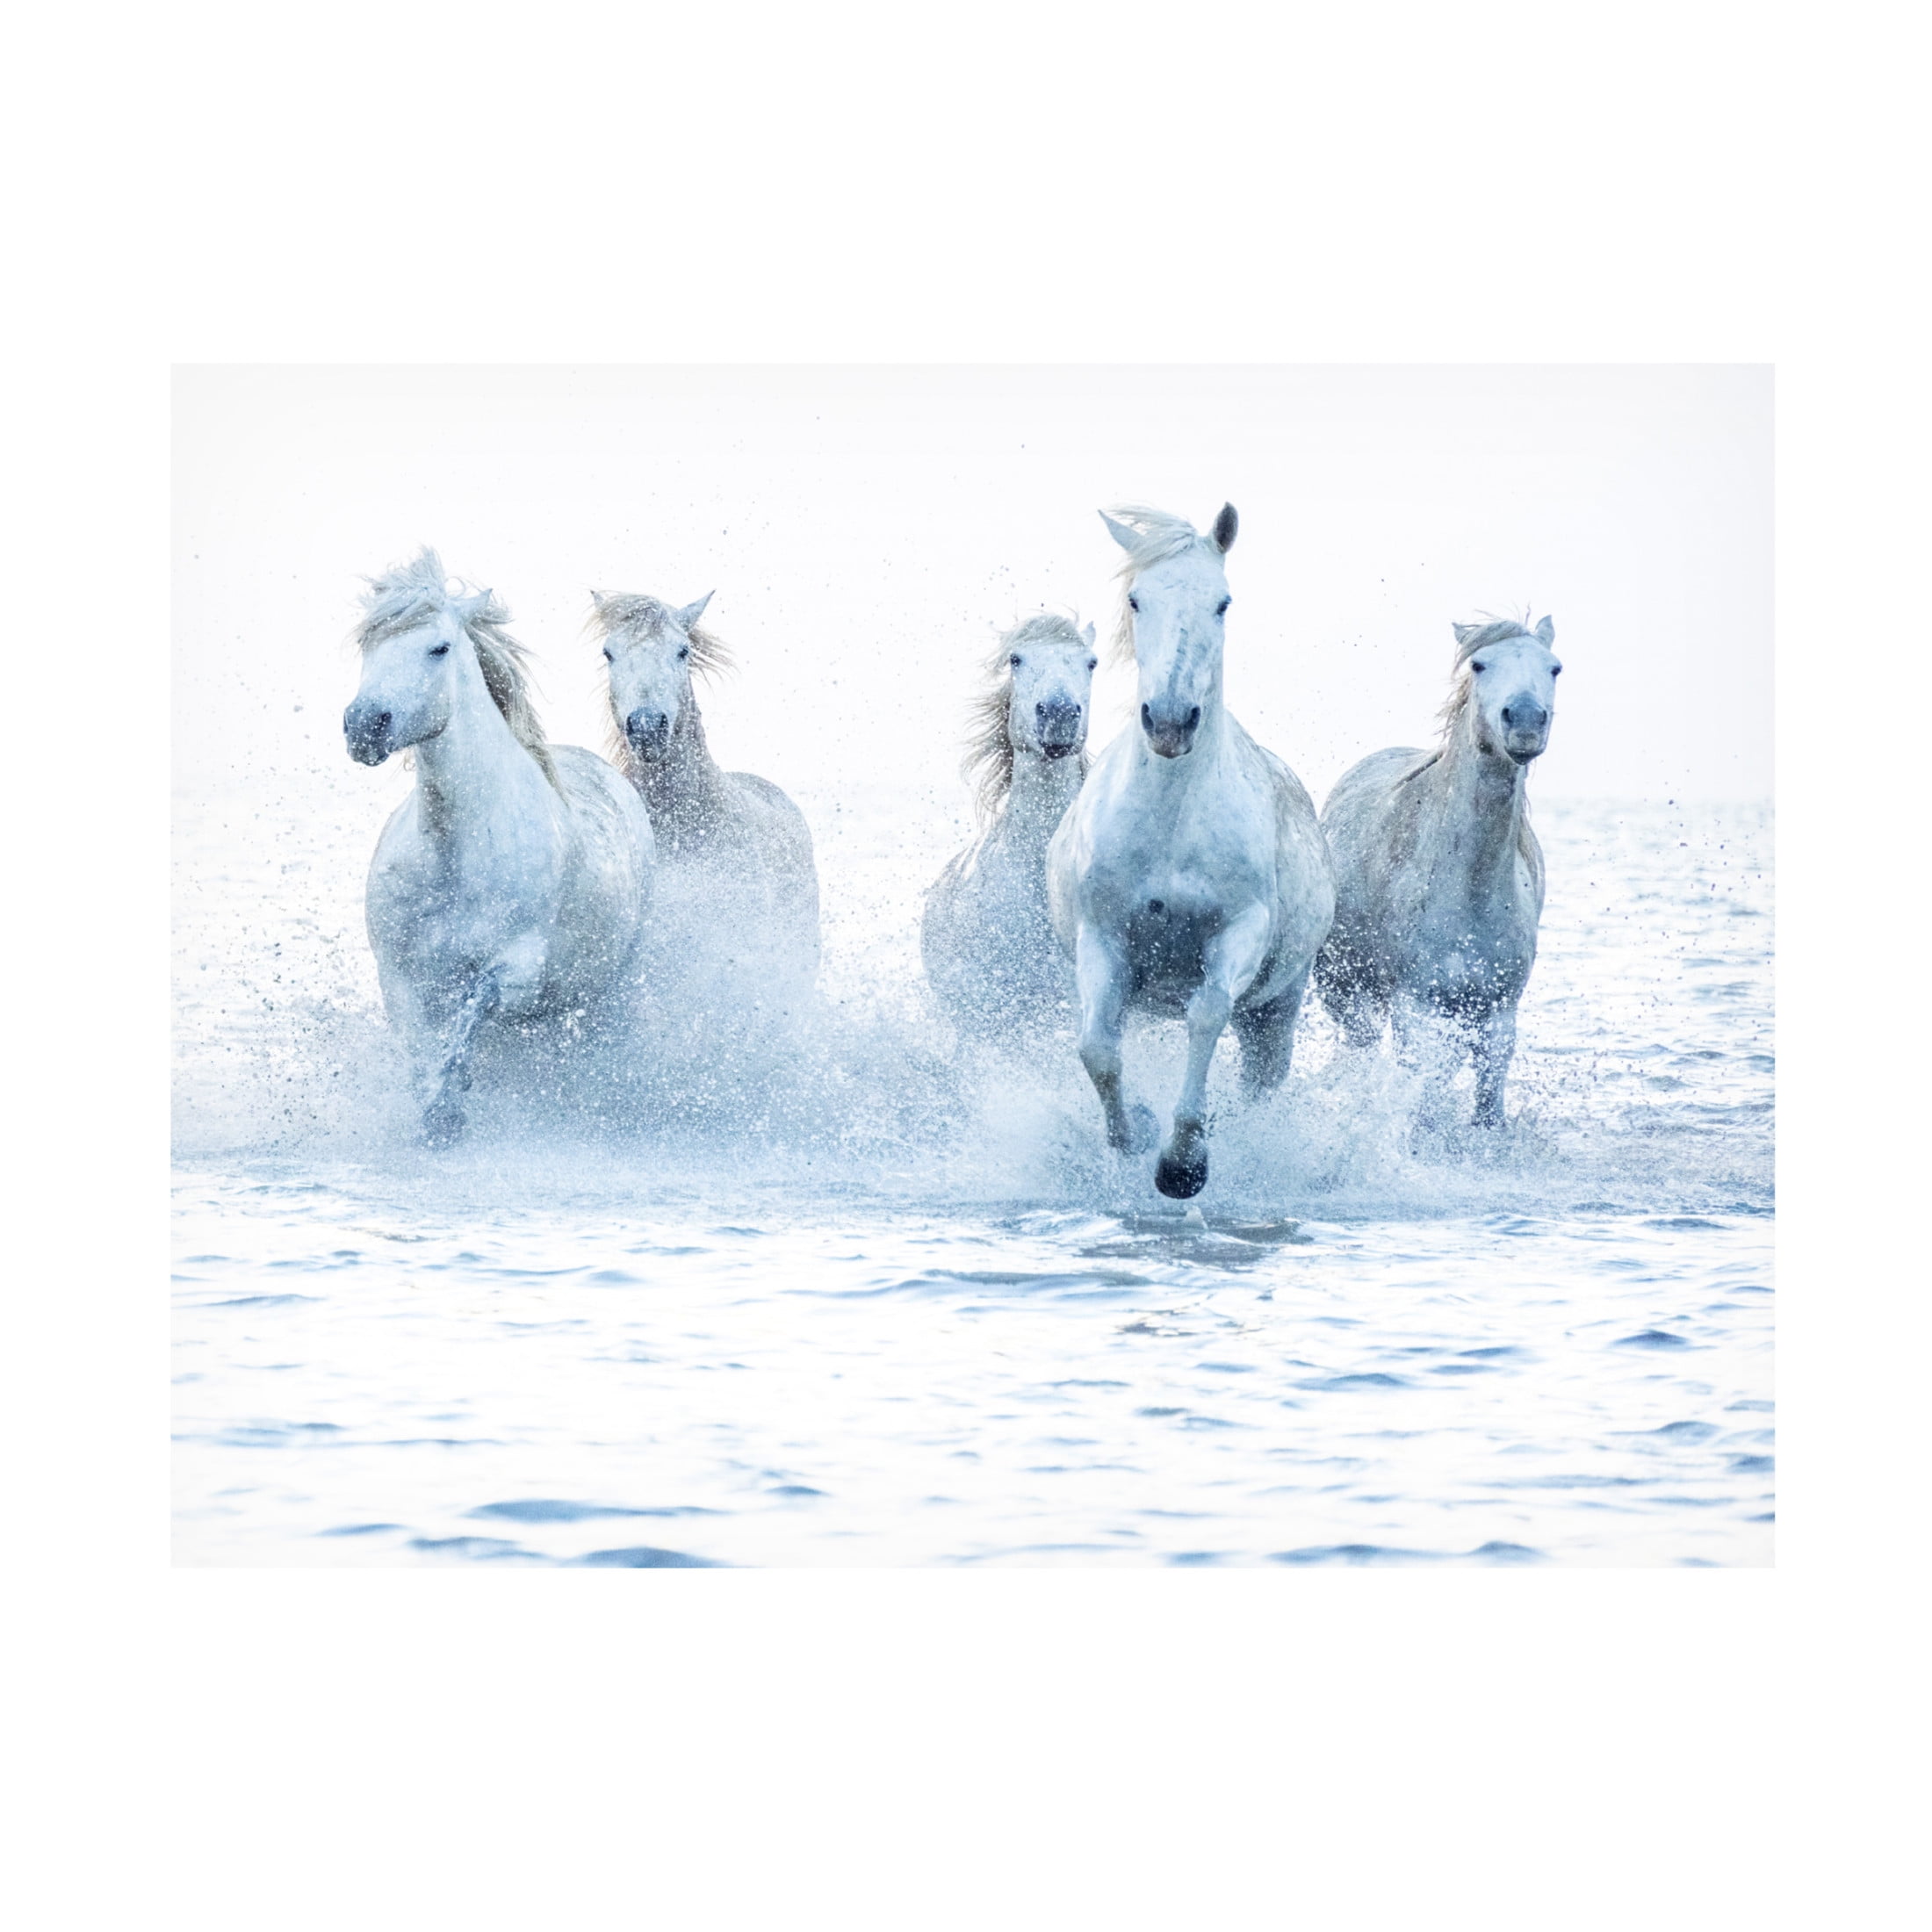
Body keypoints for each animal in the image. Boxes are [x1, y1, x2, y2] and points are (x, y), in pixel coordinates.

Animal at [342, 549, 656, 1147]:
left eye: (438, 647)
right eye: (367, 645)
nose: (364, 726)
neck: (457, 854)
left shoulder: (519, 972)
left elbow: (472, 1010)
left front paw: (448, 1108)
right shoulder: (398, 977)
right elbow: (422, 1049)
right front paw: (437, 1110)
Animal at [1047, 504, 1335, 1200]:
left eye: (1222, 602)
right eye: (1137, 599)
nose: (1171, 721)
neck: (1171, 824)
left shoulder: (1239, 932)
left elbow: (1206, 1015)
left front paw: (1183, 1163)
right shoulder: (1102, 940)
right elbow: (1097, 1049)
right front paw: (1133, 1136)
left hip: (1277, 1006)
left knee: (1262, 1081)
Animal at [1313, 614, 1561, 1128]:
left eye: (1555, 668)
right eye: (1479, 664)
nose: (1526, 721)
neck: (1469, 889)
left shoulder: (1498, 1015)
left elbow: (1486, 1103)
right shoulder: (1415, 1008)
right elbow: (1421, 1092)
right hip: (1348, 995)